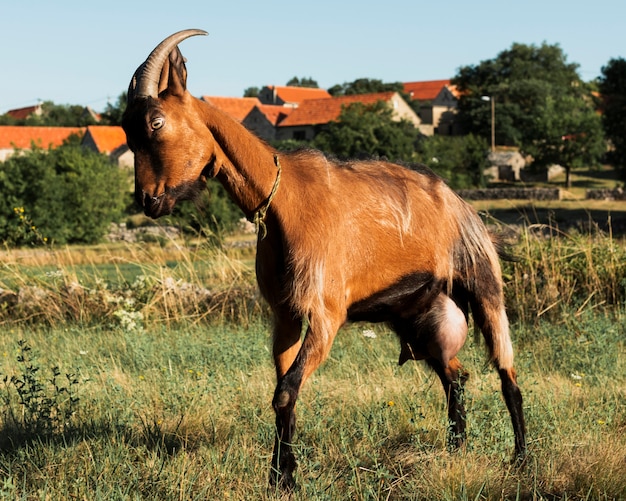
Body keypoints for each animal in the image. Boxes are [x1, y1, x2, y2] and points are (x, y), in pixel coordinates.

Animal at [120, 30, 520, 488]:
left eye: (156, 122)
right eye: (126, 128)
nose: (148, 201)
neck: (285, 202)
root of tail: (460, 204)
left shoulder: (325, 314)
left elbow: (285, 391)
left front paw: (286, 476)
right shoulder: (286, 315)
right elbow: (282, 394)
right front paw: (280, 475)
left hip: (483, 284)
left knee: (507, 373)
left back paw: (520, 459)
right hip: (422, 321)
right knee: (456, 376)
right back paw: (457, 447)